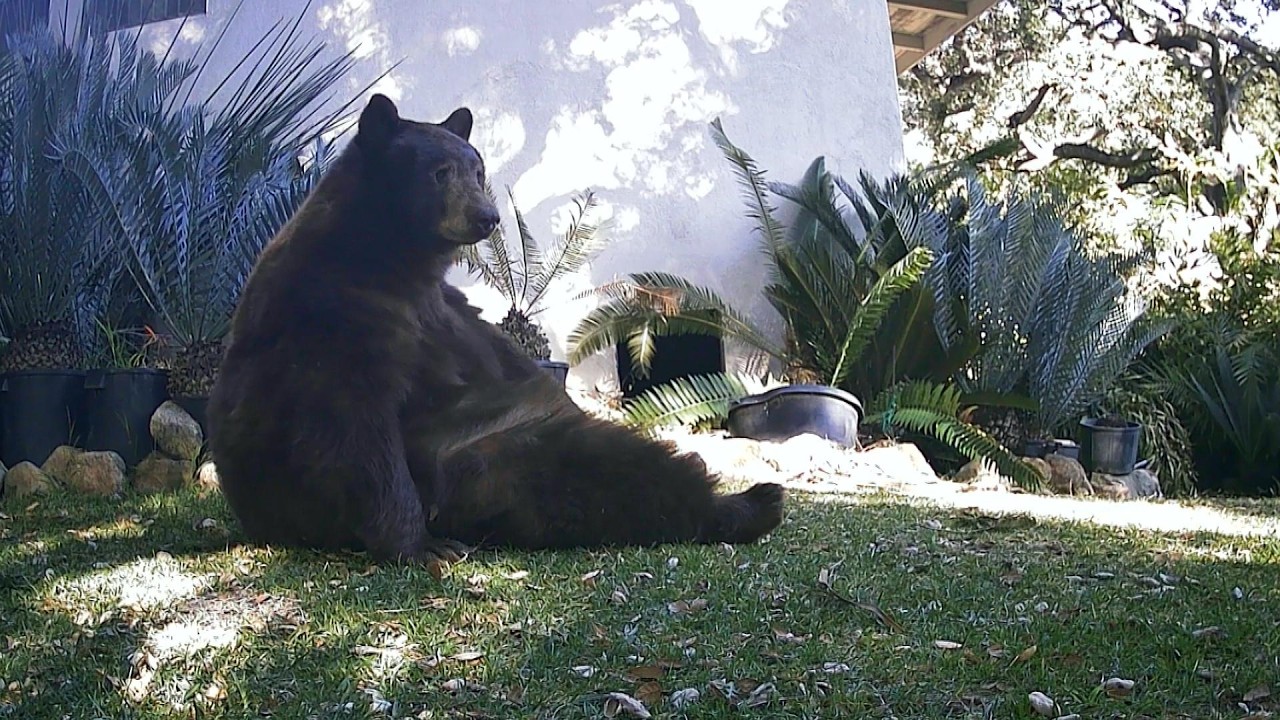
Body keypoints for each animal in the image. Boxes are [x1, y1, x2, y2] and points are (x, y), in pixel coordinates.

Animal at [207, 93, 785, 568]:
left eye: (478, 169)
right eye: (440, 172)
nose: (487, 217)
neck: (394, 260)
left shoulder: (444, 315)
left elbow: (498, 362)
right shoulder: (334, 316)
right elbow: (355, 432)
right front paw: (420, 545)